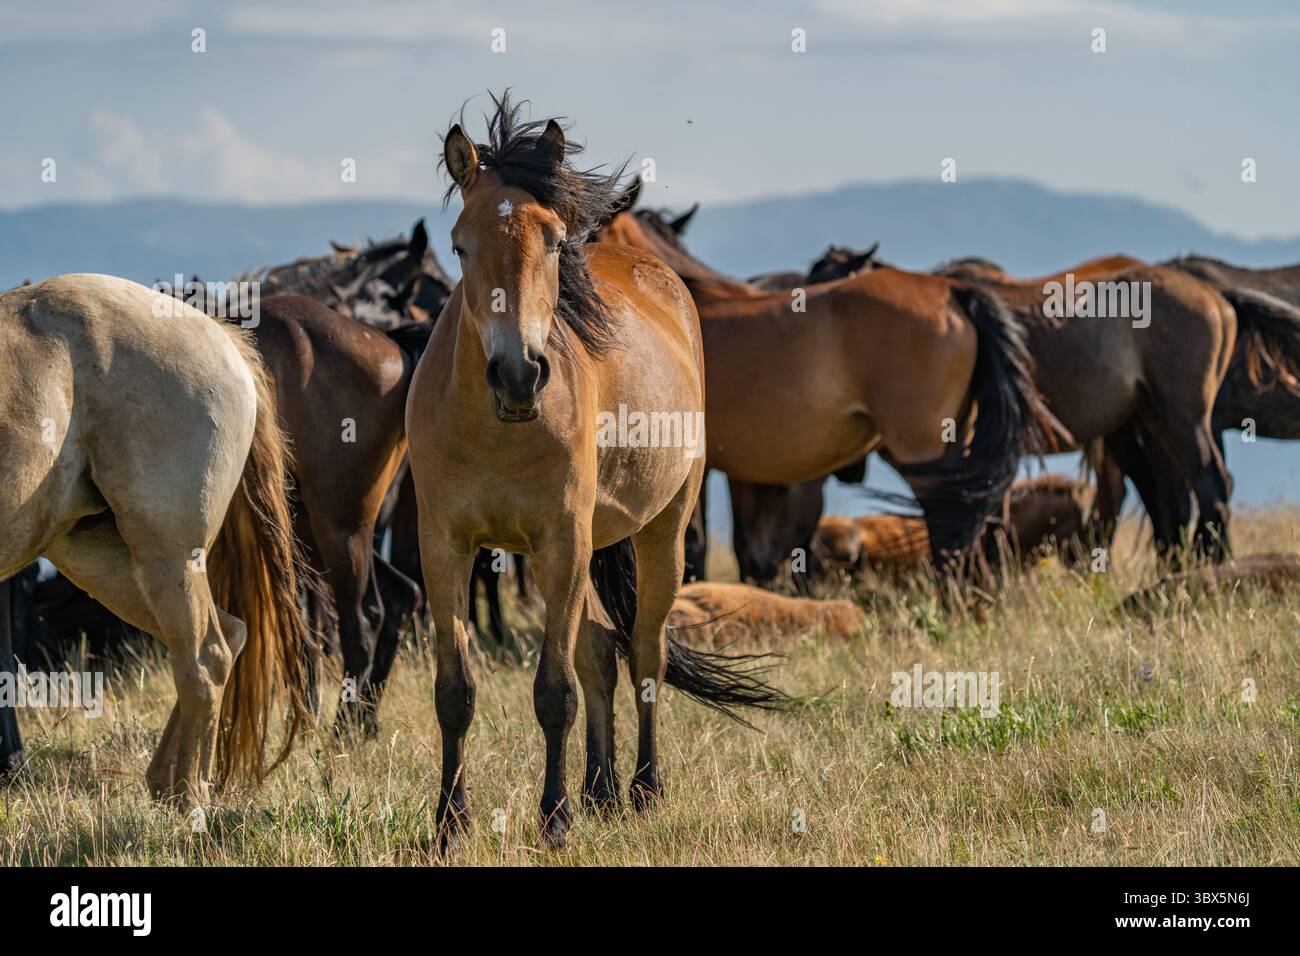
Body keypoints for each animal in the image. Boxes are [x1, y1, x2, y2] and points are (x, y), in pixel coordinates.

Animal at [0, 275, 315, 806]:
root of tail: (219, 337)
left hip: (169, 555)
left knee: (204, 661)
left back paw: (190, 800)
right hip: (103, 560)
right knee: (227, 637)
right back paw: (173, 782)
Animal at [406, 94, 785, 849]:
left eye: (554, 242)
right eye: (460, 245)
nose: (518, 373)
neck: (495, 428)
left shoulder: (562, 542)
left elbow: (554, 692)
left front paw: (553, 819)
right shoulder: (446, 546)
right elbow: (456, 690)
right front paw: (450, 824)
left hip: (657, 535)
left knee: (643, 656)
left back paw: (642, 788)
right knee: (600, 659)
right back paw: (600, 789)